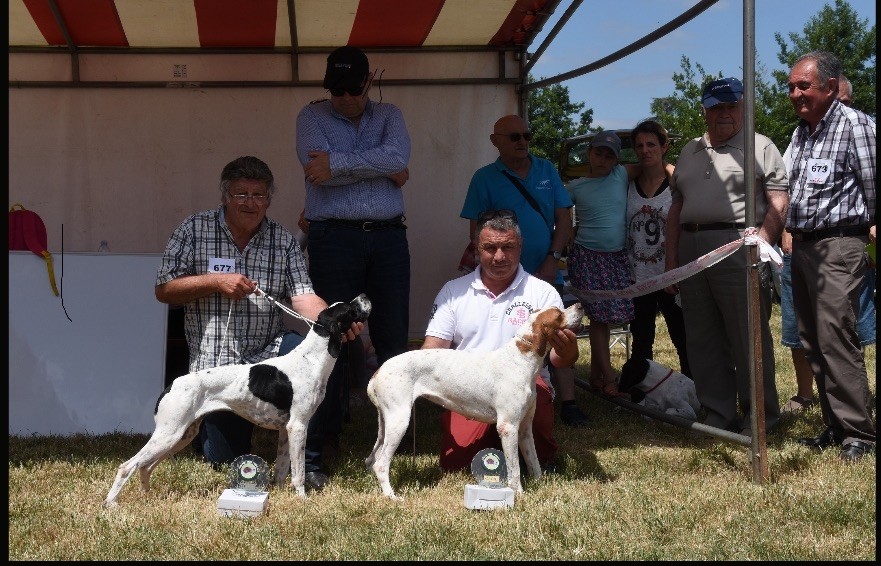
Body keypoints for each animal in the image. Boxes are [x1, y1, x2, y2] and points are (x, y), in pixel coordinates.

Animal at [104, 296, 372, 508]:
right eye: (351, 309)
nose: (364, 296)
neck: (311, 359)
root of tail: (172, 384)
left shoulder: (286, 430)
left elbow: (282, 467)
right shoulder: (298, 426)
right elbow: (298, 472)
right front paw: (302, 499)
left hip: (180, 436)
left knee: (145, 467)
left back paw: (146, 496)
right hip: (169, 435)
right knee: (127, 466)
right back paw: (111, 503)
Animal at [364, 306, 584, 502]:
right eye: (558, 314)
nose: (580, 306)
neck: (520, 360)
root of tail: (378, 372)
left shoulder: (524, 428)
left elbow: (533, 461)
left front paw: (539, 484)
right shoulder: (508, 427)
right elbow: (514, 468)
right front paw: (518, 494)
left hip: (386, 423)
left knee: (371, 459)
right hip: (399, 422)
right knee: (381, 464)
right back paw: (391, 496)